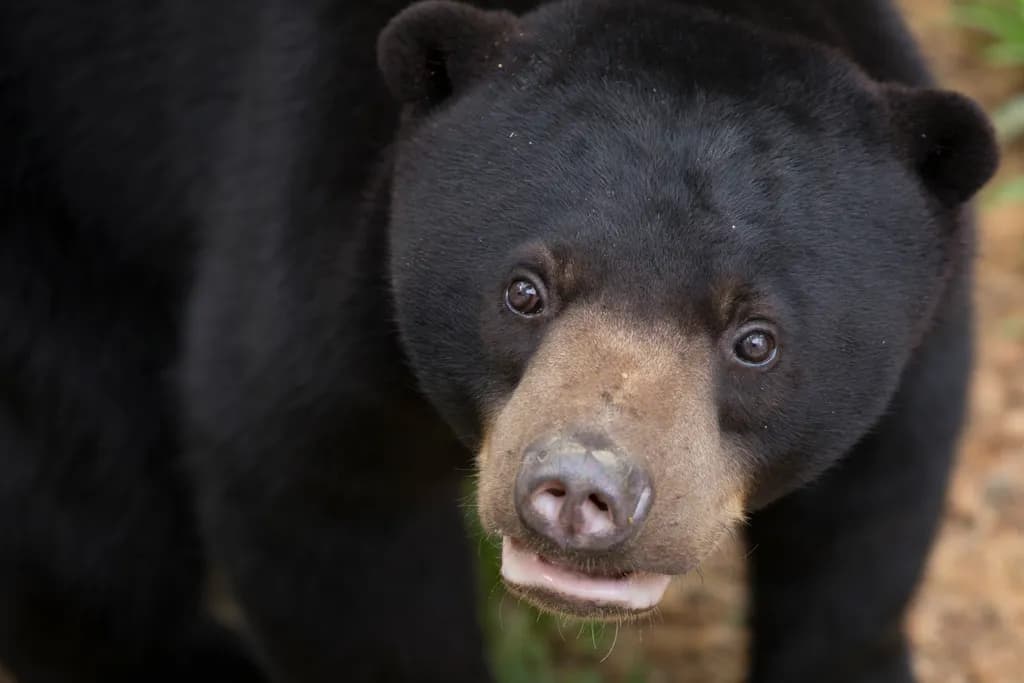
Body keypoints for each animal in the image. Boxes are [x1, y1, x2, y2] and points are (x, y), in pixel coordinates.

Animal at [0, 1, 998, 683]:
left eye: (755, 340)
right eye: (525, 291)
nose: (581, 492)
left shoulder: (917, 338)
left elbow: (869, 515)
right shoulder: (316, 207)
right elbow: (321, 493)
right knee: (89, 498)